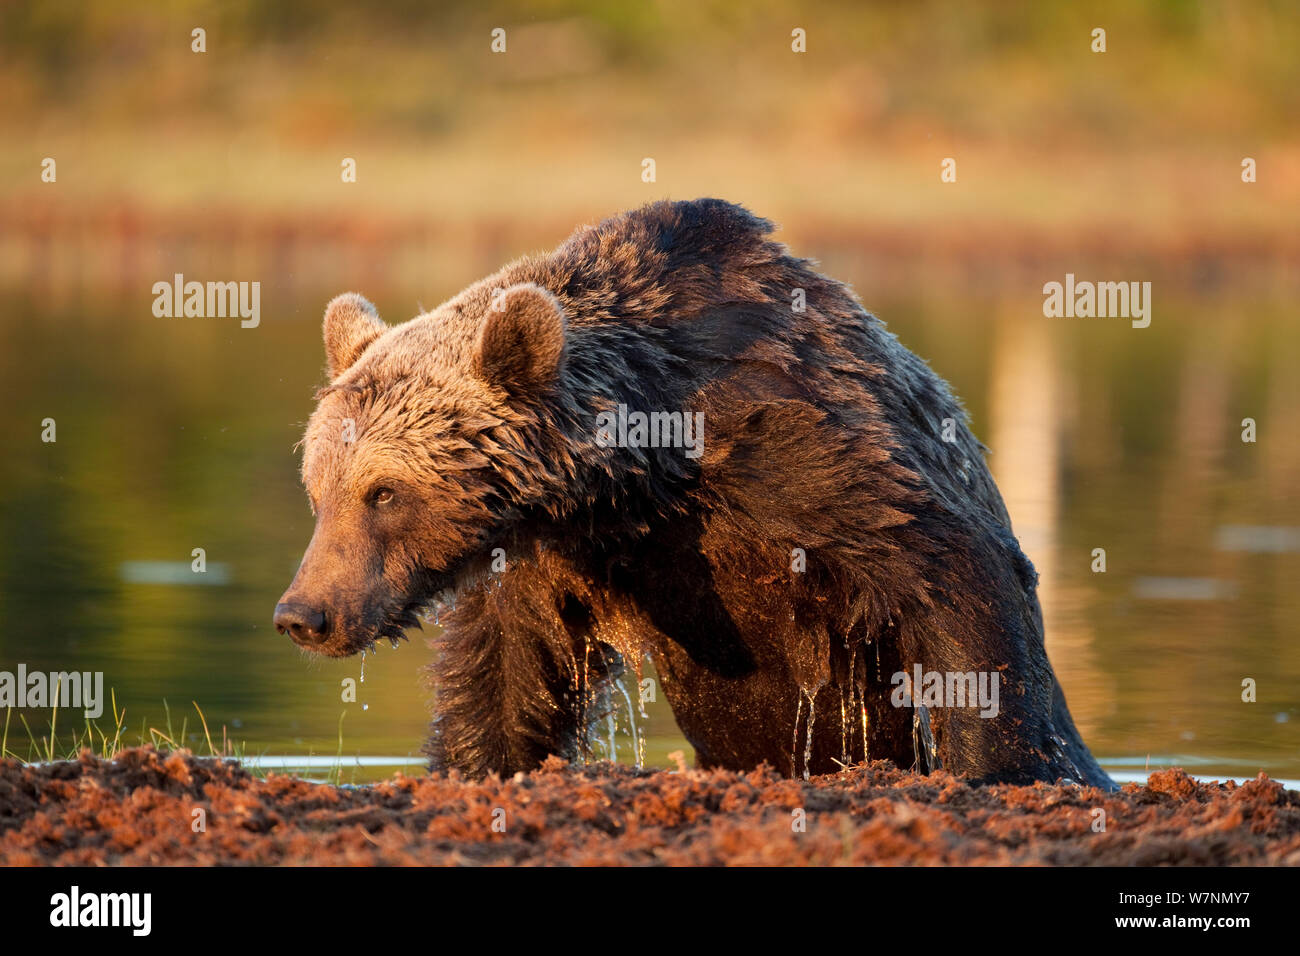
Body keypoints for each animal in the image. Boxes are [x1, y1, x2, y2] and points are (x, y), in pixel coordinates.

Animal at [279, 197, 1112, 790]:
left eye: (383, 493)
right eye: (319, 493)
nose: (305, 613)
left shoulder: (803, 453)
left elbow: (947, 574)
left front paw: (998, 764)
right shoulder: (548, 554)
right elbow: (506, 671)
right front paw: (470, 765)